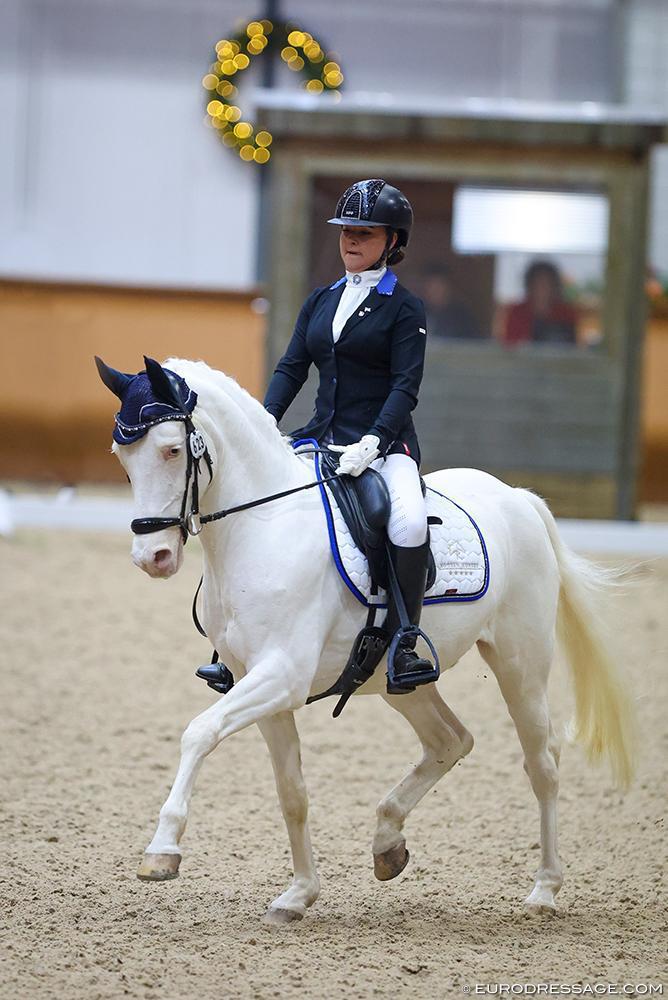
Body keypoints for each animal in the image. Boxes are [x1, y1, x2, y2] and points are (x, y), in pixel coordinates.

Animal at [97, 355, 636, 924]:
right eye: (123, 457)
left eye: (172, 449)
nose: (152, 558)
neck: (263, 526)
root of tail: (519, 498)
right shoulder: (255, 681)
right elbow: (292, 792)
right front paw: (298, 894)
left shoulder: (281, 675)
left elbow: (198, 732)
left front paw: (162, 850)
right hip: (398, 680)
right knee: (450, 740)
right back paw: (387, 842)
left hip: (521, 664)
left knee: (542, 764)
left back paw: (544, 890)